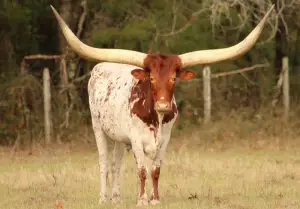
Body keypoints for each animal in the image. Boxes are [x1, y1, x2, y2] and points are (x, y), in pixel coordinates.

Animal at [51, 4, 274, 206]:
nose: (163, 106)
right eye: (151, 78)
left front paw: (155, 199)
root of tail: (100, 67)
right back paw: (103, 199)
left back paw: (116, 198)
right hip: (98, 127)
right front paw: (142, 200)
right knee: (104, 162)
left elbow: (155, 170)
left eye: (174, 78)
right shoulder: (136, 138)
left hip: (120, 136)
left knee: (116, 163)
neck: (155, 118)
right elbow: (142, 170)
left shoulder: (165, 138)